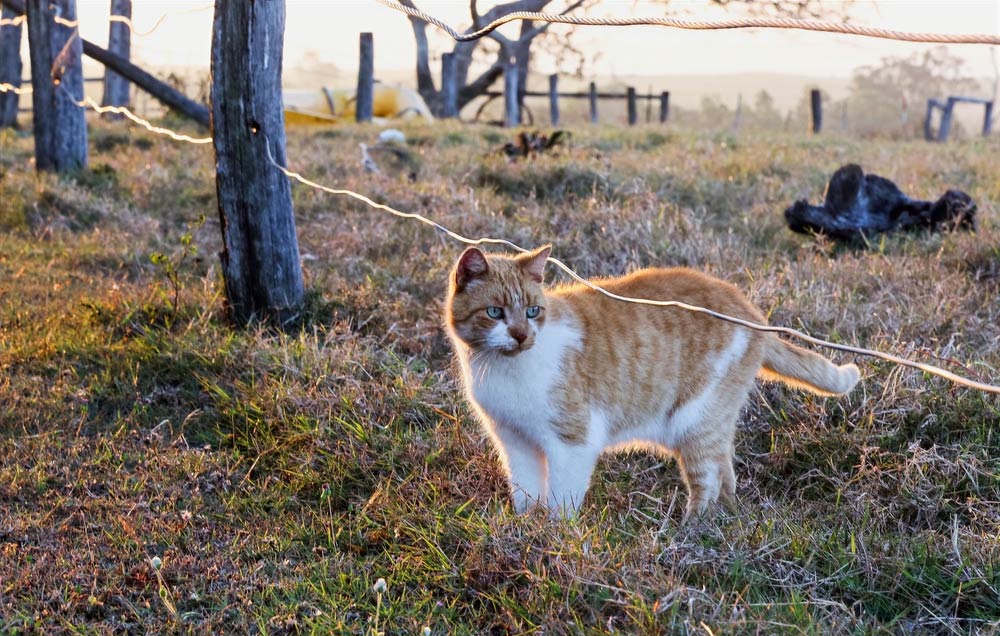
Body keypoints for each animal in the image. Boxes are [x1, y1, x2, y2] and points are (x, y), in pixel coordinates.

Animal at [446, 246, 860, 520]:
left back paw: (694, 530)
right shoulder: (514, 441)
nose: (520, 335)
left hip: (694, 422)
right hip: (711, 423)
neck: (506, 369)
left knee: (708, 479)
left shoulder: (572, 441)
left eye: (533, 311)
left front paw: (554, 538)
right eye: (495, 312)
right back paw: (726, 520)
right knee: (725, 471)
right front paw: (525, 529)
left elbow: (562, 500)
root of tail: (751, 312)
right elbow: (526, 492)